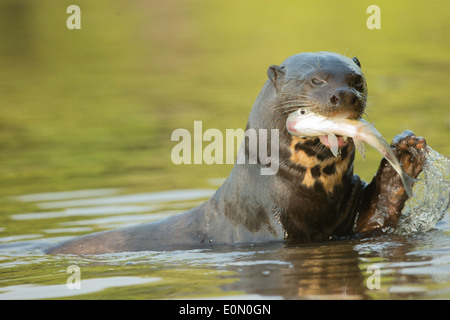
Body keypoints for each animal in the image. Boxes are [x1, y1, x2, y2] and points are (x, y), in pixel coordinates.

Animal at [46, 50, 428, 255]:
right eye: (316, 81)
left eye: (357, 79)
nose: (345, 95)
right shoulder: (267, 224)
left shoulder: (346, 216)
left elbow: (374, 219)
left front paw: (406, 155)